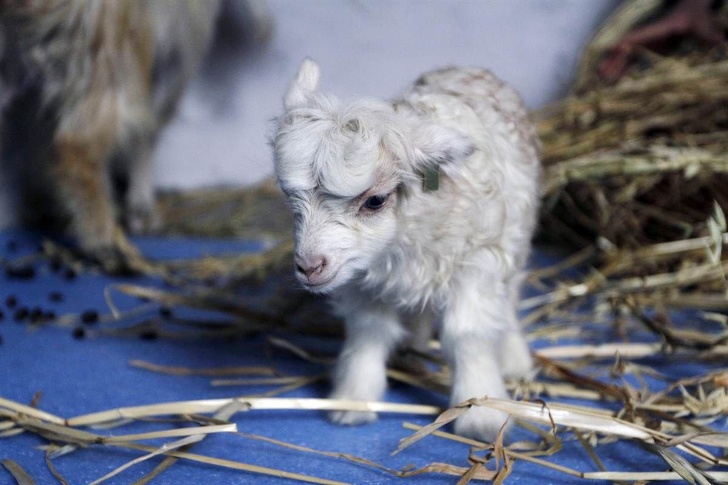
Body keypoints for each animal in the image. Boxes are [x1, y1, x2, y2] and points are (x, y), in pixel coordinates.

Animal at [273, 58, 541, 441]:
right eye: (290, 197)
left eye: (375, 201)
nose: (309, 266)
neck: (401, 245)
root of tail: (467, 68)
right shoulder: (362, 278)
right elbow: (369, 331)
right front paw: (353, 400)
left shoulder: (478, 262)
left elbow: (468, 335)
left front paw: (481, 414)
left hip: (515, 243)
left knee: (511, 299)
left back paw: (515, 359)